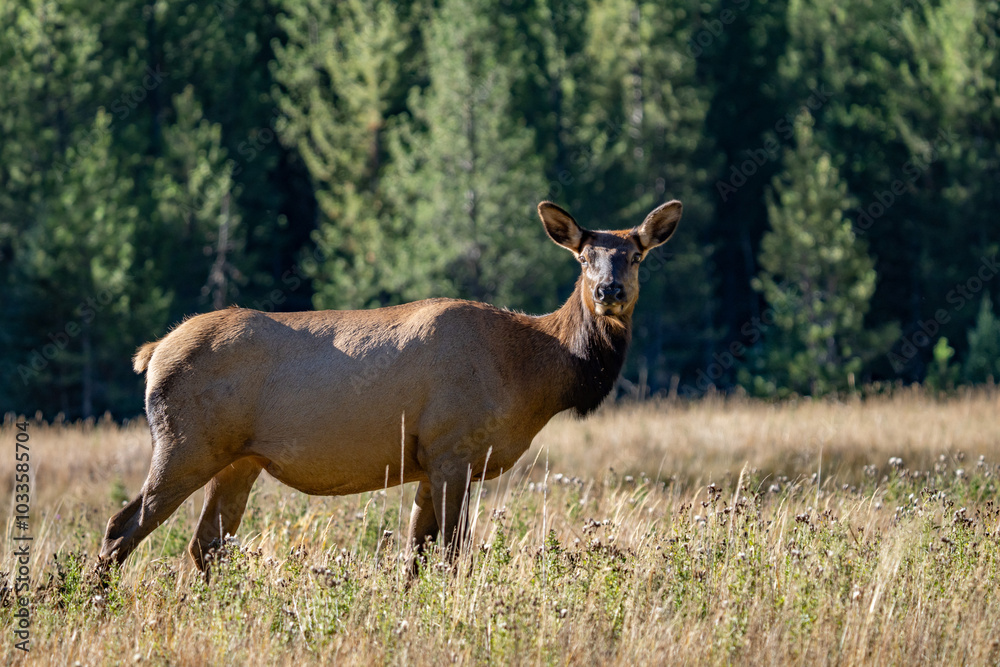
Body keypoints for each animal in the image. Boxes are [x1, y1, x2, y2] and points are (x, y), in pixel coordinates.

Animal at [98, 200, 682, 574]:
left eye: (636, 256)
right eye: (584, 258)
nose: (608, 290)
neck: (532, 375)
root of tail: (152, 354)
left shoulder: (428, 462)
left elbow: (415, 558)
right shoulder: (452, 447)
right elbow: (450, 556)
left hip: (237, 459)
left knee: (206, 546)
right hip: (186, 443)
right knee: (120, 527)